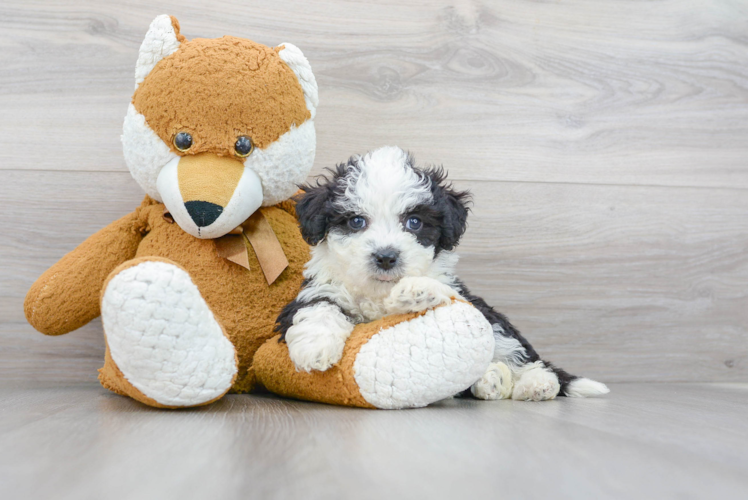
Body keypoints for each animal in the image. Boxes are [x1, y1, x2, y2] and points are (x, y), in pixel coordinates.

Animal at [274, 146, 608, 400]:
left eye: (414, 222)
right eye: (356, 221)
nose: (386, 257)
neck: (378, 293)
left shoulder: (454, 291)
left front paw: (414, 291)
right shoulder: (318, 289)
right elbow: (317, 308)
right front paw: (315, 348)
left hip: (493, 322)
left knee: (520, 355)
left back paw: (535, 383)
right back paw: (491, 380)